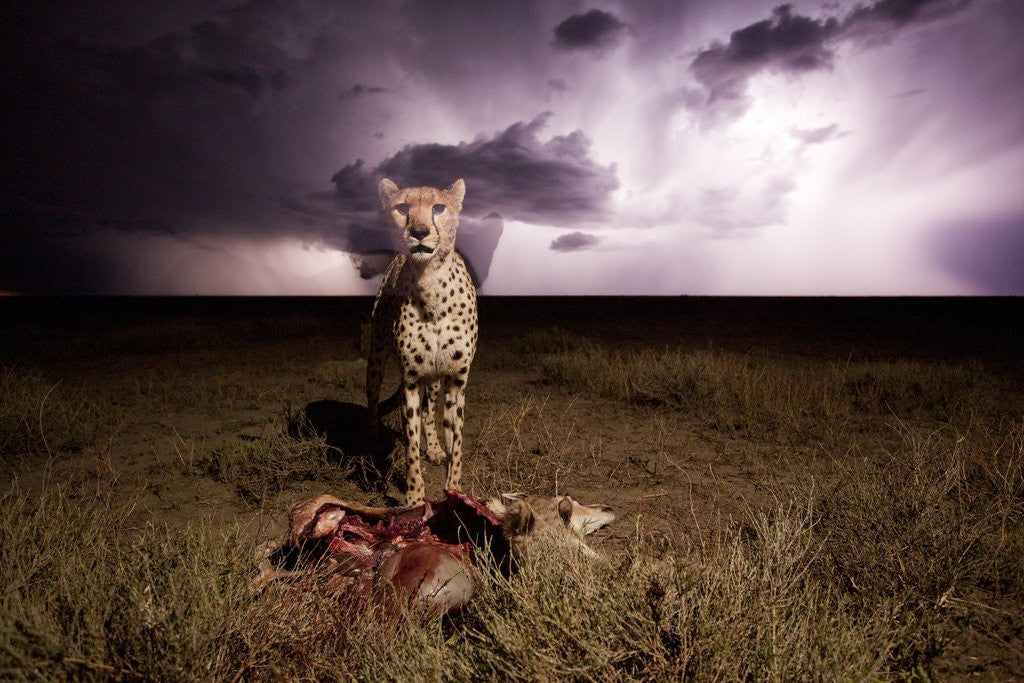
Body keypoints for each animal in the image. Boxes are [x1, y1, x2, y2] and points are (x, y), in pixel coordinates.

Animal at [366, 177, 478, 506]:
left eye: (438, 208)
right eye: (402, 208)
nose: (418, 232)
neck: (432, 286)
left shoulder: (456, 382)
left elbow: (457, 442)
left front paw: (454, 490)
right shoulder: (411, 382)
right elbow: (410, 448)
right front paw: (415, 499)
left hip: (436, 378)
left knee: (431, 412)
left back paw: (435, 448)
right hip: (376, 357)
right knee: (372, 403)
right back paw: (372, 446)